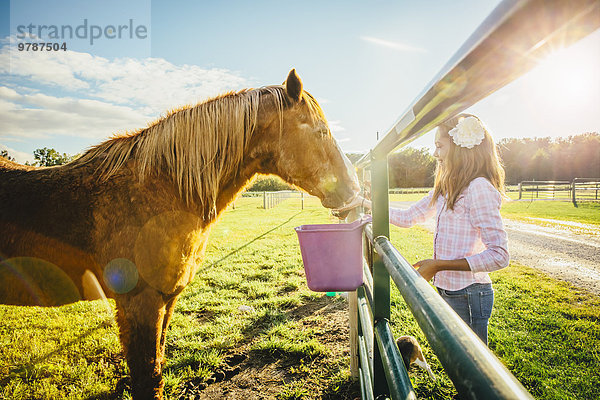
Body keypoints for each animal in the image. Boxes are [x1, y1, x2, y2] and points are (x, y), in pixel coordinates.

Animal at [0, 70, 360, 400]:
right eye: (321, 132)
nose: (354, 189)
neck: (157, 192)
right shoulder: (139, 303)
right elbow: (147, 378)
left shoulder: (166, 298)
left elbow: (156, 368)